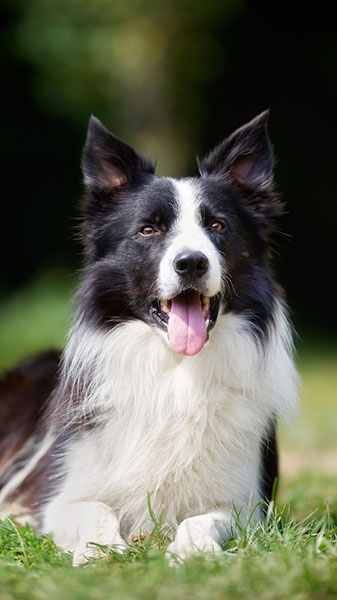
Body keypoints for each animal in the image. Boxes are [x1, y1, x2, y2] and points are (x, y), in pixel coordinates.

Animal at [0, 111, 296, 564]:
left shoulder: (247, 504)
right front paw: (102, 551)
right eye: (148, 230)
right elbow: (97, 509)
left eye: (218, 226)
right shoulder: (62, 495)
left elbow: (202, 519)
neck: (175, 370)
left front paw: (193, 553)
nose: (191, 262)